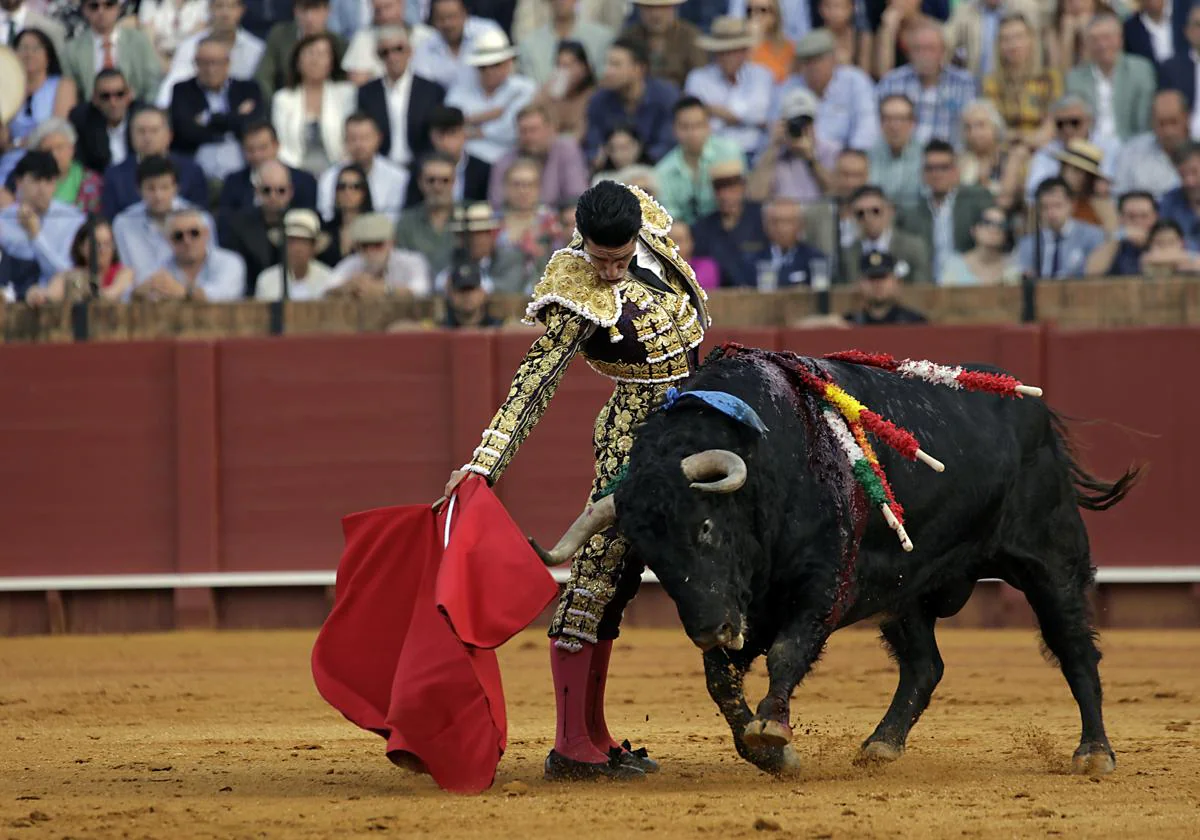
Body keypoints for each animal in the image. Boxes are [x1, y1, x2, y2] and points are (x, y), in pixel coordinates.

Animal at [540, 350, 1137, 777]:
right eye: (651, 560)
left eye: (704, 527)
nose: (711, 630)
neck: (769, 465)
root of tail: (1032, 405)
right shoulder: (750, 606)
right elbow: (720, 679)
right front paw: (764, 749)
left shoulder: (822, 585)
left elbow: (787, 652)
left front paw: (772, 730)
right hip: (906, 590)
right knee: (925, 665)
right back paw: (881, 745)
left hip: (1049, 560)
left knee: (1074, 647)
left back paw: (1094, 753)